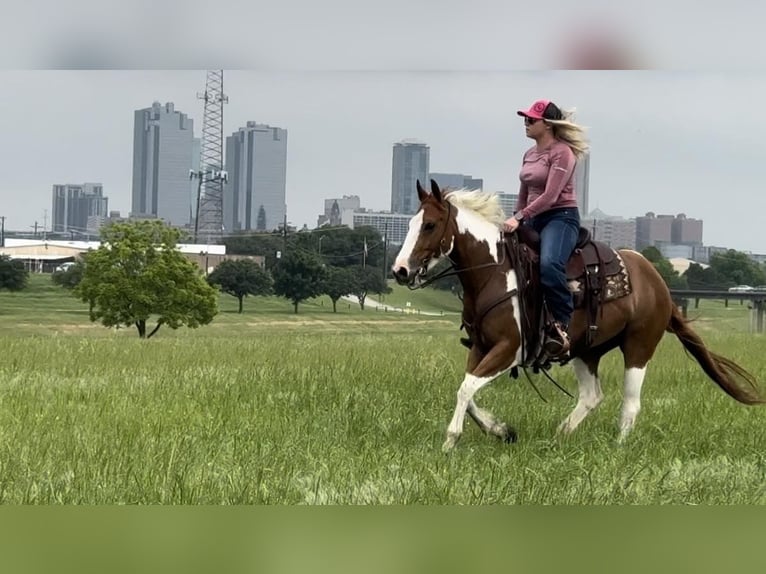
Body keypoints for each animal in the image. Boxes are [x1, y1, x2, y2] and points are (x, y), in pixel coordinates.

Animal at [392, 180, 764, 454]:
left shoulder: (508, 349)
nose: (400, 270)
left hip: (638, 347)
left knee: (630, 403)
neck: (494, 271)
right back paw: (560, 436)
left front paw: (451, 441)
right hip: (586, 350)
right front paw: (502, 430)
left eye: (430, 225)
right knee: (592, 396)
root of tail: (658, 282)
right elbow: (467, 391)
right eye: (409, 223)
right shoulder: (481, 348)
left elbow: (465, 389)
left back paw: (617, 448)